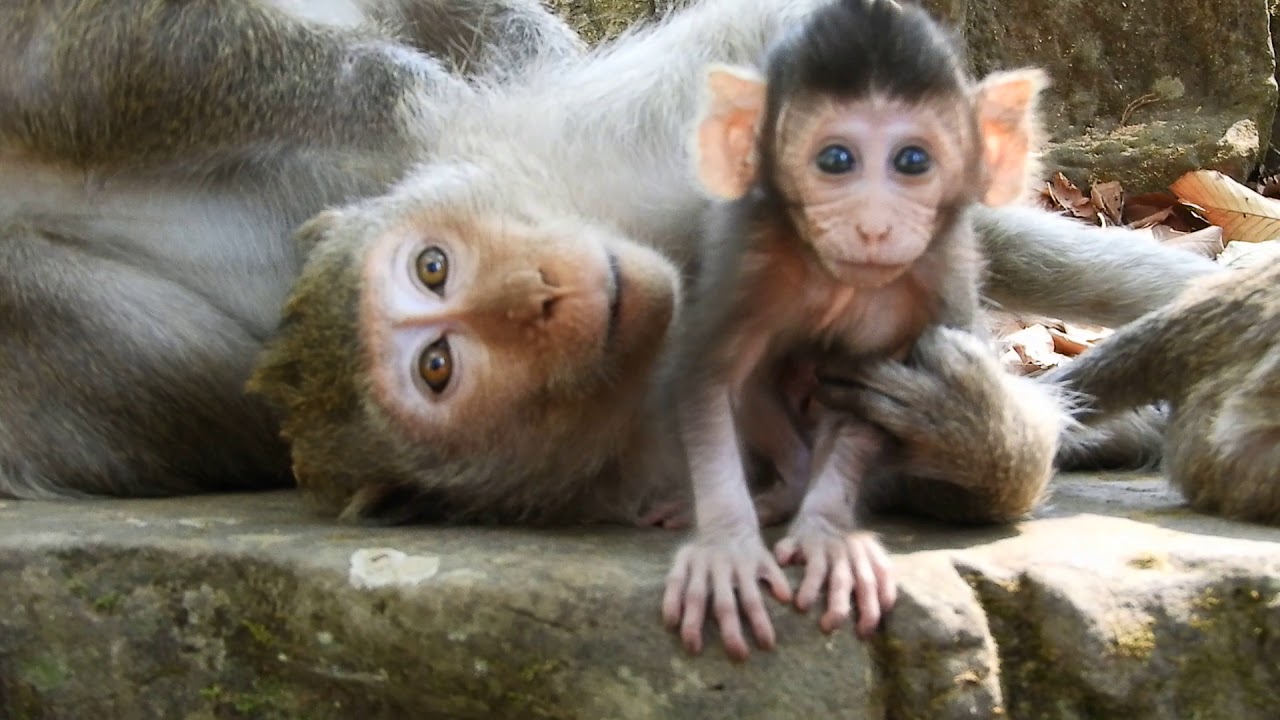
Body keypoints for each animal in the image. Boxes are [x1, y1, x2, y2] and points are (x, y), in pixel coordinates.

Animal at [660, 0, 1052, 660]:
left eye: (912, 161)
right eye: (835, 160)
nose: (872, 226)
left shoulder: (936, 273)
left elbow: (866, 396)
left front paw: (828, 535)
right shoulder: (751, 254)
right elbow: (707, 378)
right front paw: (727, 546)